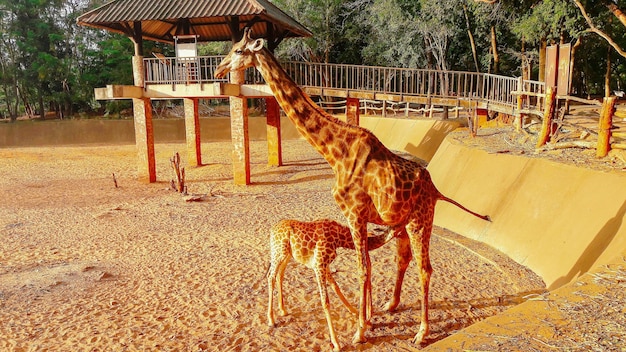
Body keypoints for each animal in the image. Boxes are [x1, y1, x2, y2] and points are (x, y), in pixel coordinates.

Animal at [264, 219, 392, 350]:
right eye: (368, 264)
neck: (339, 238)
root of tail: (272, 229)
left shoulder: (325, 265)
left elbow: (336, 286)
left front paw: (354, 311)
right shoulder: (319, 264)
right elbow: (325, 301)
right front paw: (336, 343)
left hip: (287, 254)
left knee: (280, 274)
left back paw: (283, 310)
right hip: (278, 252)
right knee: (270, 276)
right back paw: (271, 320)